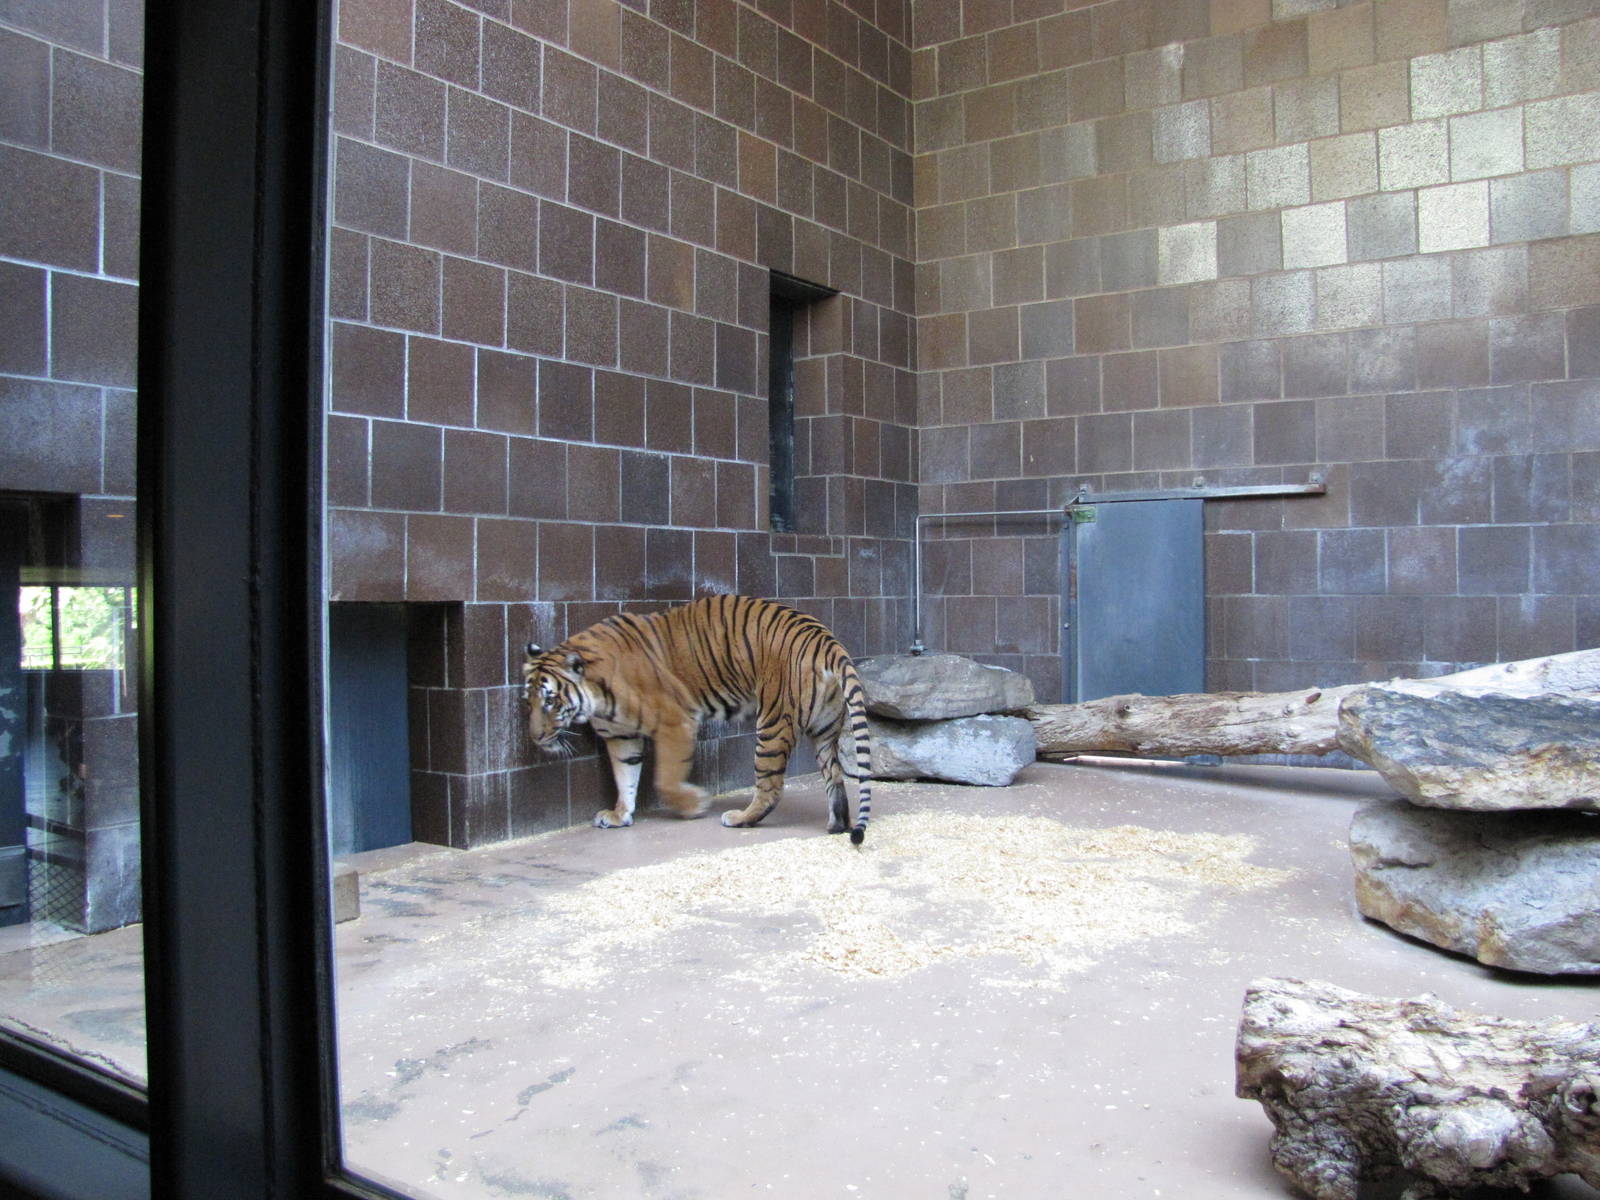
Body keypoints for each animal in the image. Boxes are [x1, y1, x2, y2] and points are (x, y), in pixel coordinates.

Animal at [521, 594, 872, 844]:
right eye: (530, 700)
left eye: (551, 701)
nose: (535, 737)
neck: (596, 695)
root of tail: (824, 640)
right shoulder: (622, 736)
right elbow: (626, 777)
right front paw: (620, 815)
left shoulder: (674, 721)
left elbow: (664, 779)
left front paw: (694, 804)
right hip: (824, 729)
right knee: (834, 778)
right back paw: (835, 825)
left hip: (773, 724)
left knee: (771, 787)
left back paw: (739, 818)